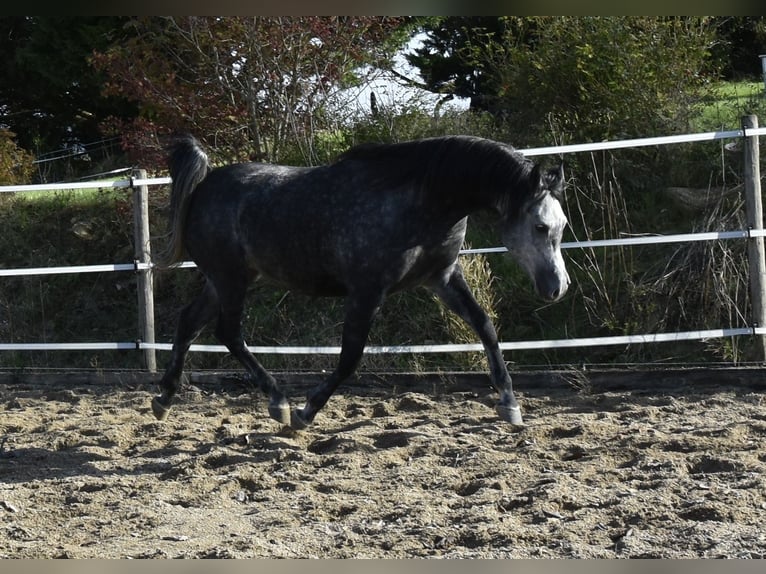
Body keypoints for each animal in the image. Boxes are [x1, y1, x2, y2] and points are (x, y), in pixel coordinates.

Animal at [152, 135, 568, 430]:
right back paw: (279, 402)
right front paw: (306, 412)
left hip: (223, 281)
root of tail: (203, 186)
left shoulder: (443, 278)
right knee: (228, 333)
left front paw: (510, 404)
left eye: (562, 225)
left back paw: (164, 399)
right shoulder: (367, 291)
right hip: (231, 279)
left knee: (189, 322)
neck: (421, 202)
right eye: (539, 226)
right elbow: (350, 357)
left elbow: (485, 327)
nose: (557, 288)